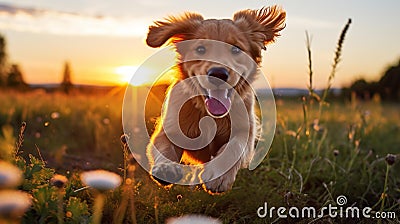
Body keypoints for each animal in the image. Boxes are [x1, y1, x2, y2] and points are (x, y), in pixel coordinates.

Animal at [145, 5, 286, 192]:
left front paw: (219, 177)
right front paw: (166, 168)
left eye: (236, 49)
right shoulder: (168, 130)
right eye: (200, 49)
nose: (218, 74)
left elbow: (234, 147)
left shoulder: (246, 132)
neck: (210, 114)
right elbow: (164, 147)